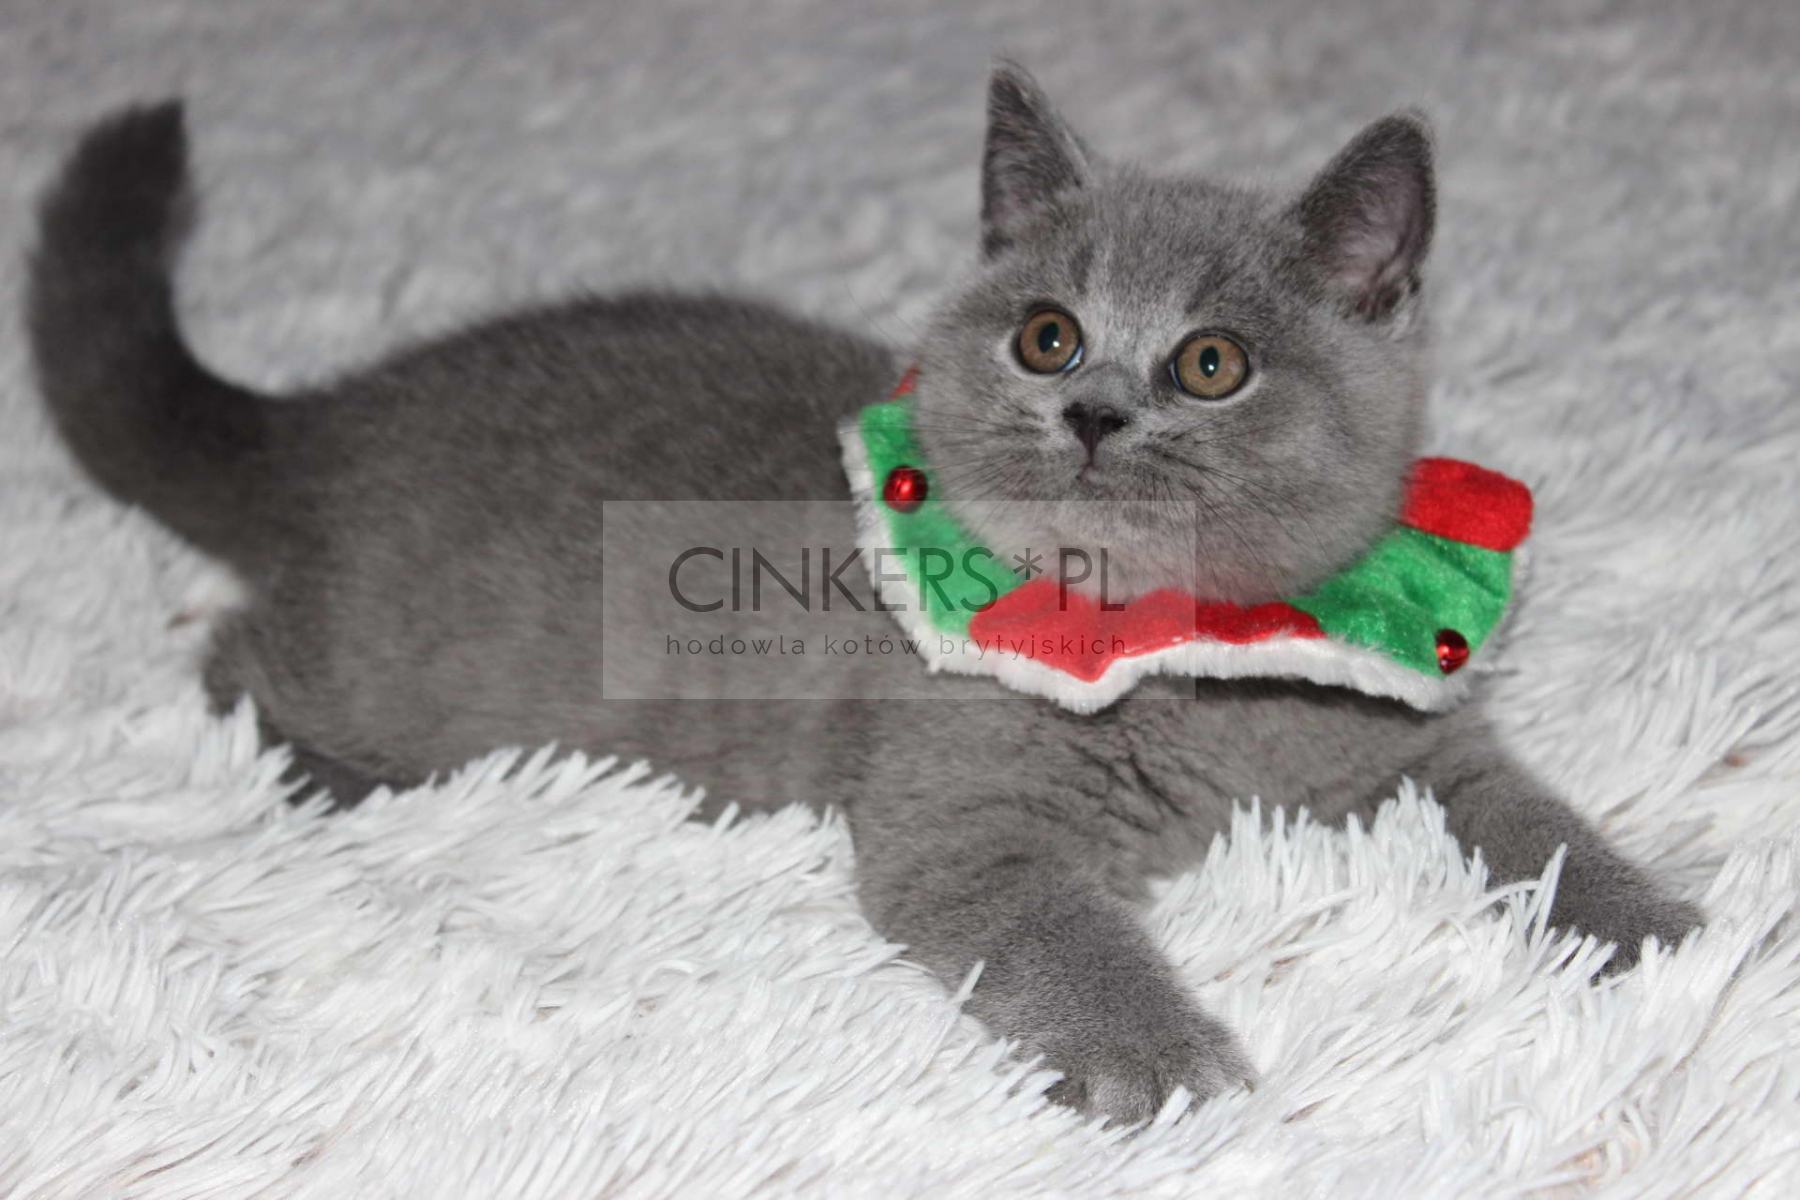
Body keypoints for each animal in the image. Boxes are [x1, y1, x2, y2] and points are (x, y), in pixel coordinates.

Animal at [28, 63, 1702, 1125]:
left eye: (1213, 361)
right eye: (1046, 333)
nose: (1092, 413)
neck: (1198, 652)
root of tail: (320, 421)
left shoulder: (1418, 732)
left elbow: (1527, 814)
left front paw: (1652, 928)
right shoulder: (962, 821)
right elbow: (1059, 931)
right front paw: (1164, 1066)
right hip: (389, 659)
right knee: (233, 654)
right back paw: (328, 772)